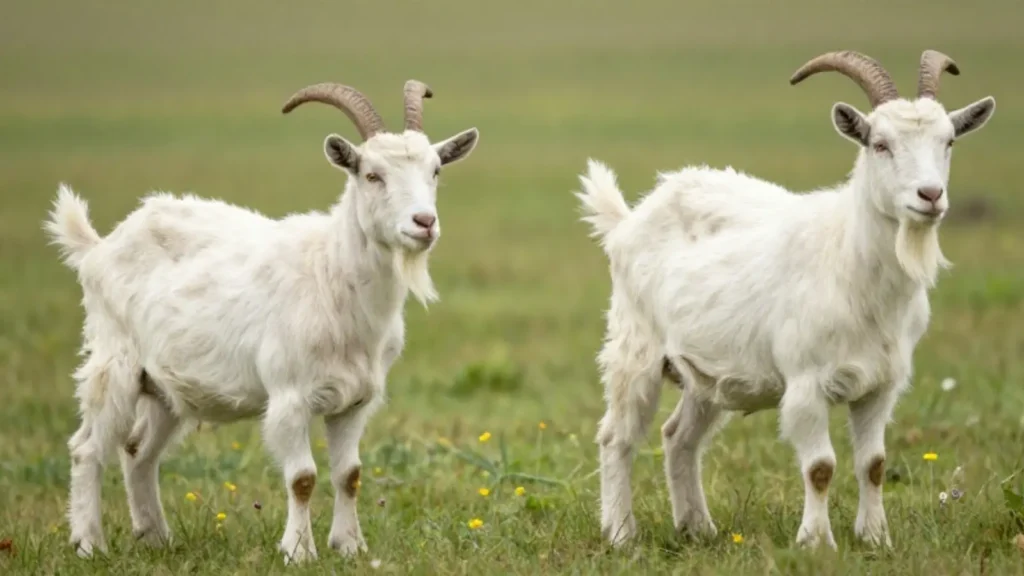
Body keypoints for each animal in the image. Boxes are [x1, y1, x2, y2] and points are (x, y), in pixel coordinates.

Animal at [46, 79, 479, 563]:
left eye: (435, 170)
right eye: (372, 175)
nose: (424, 222)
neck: (330, 275)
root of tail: (99, 246)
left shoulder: (355, 401)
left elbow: (349, 473)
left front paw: (350, 546)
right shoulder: (288, 397)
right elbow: (303, 477)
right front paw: (299, 551)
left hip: (163, 386)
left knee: (138, 451)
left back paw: (156, 537)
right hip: (114, 361)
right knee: (87, 448)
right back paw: (89, 544)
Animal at [576, 50, 994, 549]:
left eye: (948, 141)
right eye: (880, 144)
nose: (930, 195)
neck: (849, 262)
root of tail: (627, 219)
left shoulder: (880, 386)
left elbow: (873, 465)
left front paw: (876, 538)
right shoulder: (806, 383)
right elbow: (820, 468)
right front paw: (816, 543)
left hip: (704, 373)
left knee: (679, 436)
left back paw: (698, 528)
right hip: (634, 348)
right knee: (616, 437)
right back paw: (622, 535)